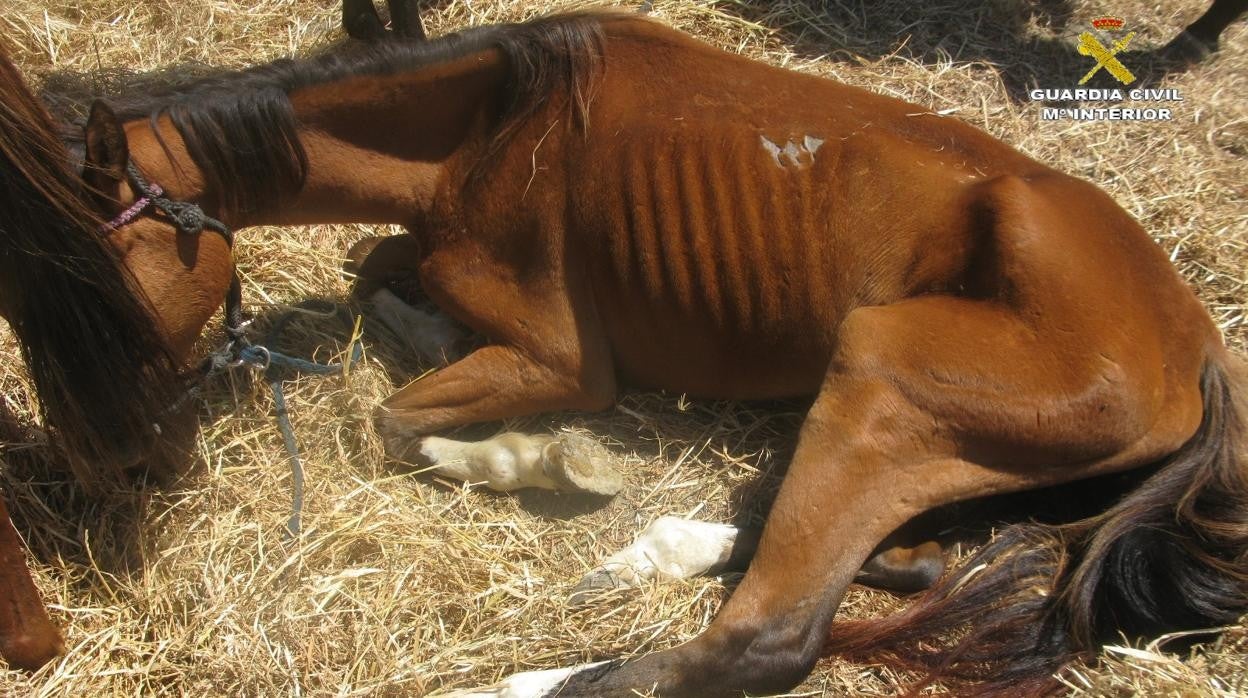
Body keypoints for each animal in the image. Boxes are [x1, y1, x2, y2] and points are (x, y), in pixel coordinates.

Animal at [51, 10, 1248, 698]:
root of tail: (1198, 344)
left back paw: (510, 681)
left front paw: (552, 461)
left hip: (881, 376)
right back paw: (652, 551)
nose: (116, 463)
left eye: (99, 294)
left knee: (766, 638)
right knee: (903, 557)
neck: (493, 122)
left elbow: (393, 420)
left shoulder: (560, 360)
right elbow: (371, 272)